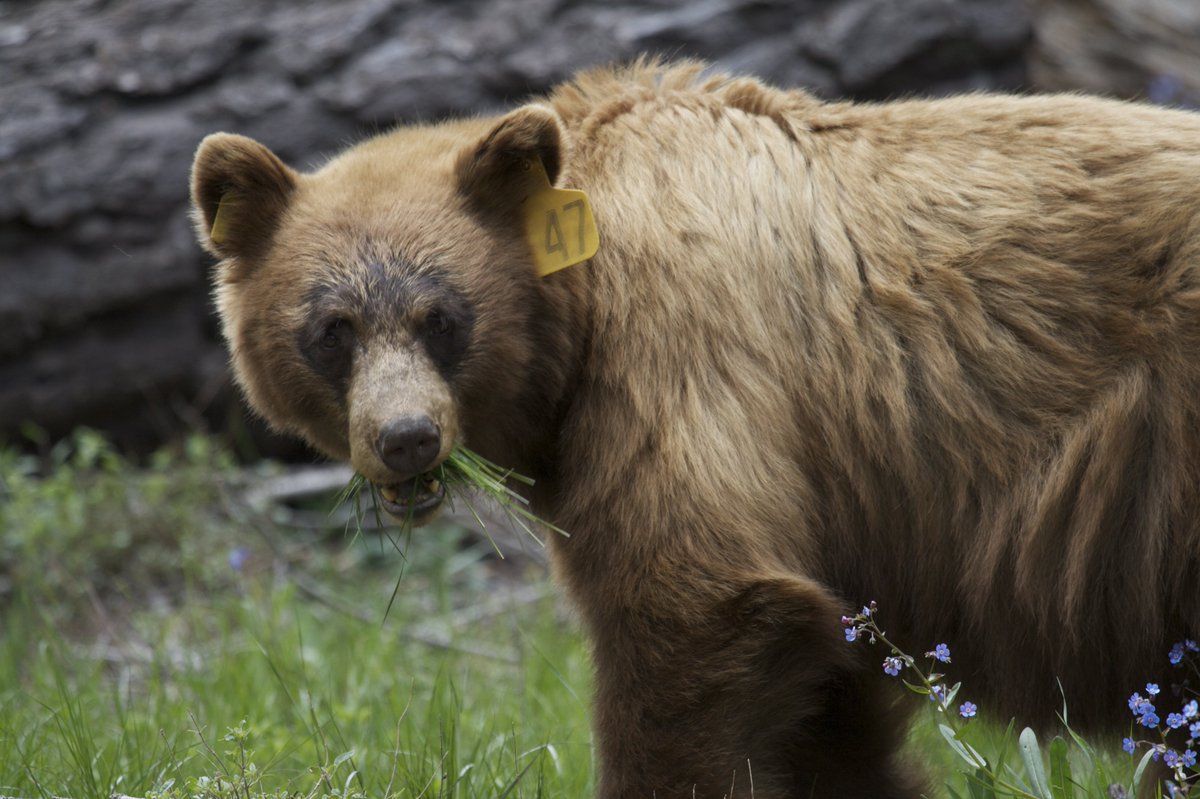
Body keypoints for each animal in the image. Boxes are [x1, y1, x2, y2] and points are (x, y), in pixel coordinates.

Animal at [190, 60, 1200, 798]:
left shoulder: (677, 345)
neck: (581, 298)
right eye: (334, 328)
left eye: (443, 316)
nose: (405, 438)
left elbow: (692, 602)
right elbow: (829, 707)